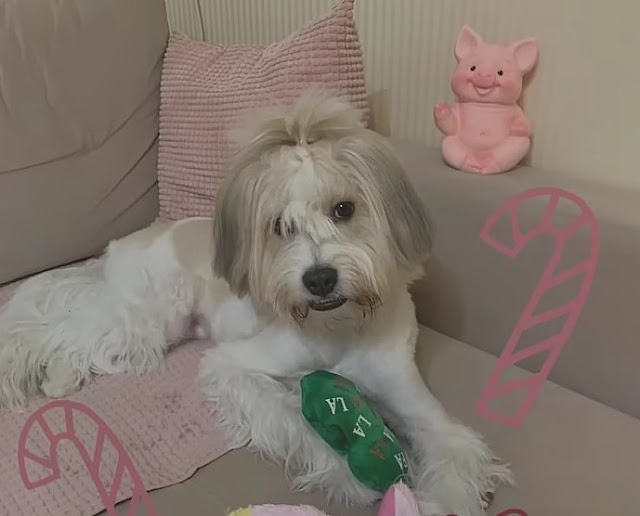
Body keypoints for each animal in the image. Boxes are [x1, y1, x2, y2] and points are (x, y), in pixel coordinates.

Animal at [0, 94, 510, 512]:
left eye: (344, 209)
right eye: (280, 226)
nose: (319, 279)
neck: (340, 330)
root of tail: (125, 242)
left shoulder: (421, 410)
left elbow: (453, 455)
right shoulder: (237, 367)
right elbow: (298, 422)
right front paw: (349, 478)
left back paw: (60, 376)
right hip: (148, 319)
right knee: (58, 328)